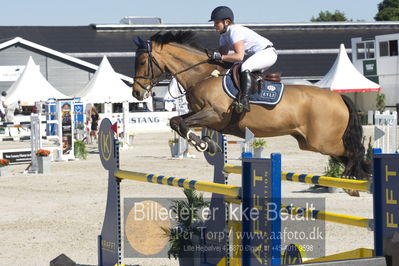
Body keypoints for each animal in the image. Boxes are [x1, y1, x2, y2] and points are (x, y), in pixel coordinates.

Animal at [132, 31, 372, 185]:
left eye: (143, 62)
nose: (136, 94)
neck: (202, 76)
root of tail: (338, 97)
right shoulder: (201, 113)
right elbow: (176, 121)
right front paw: (208, 144)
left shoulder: (214, 114)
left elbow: (182, 124)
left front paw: (203, 144)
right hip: (313, 142)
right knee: (351, 154)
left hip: (322, 141)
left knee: (355, 150)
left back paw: (350, 177)